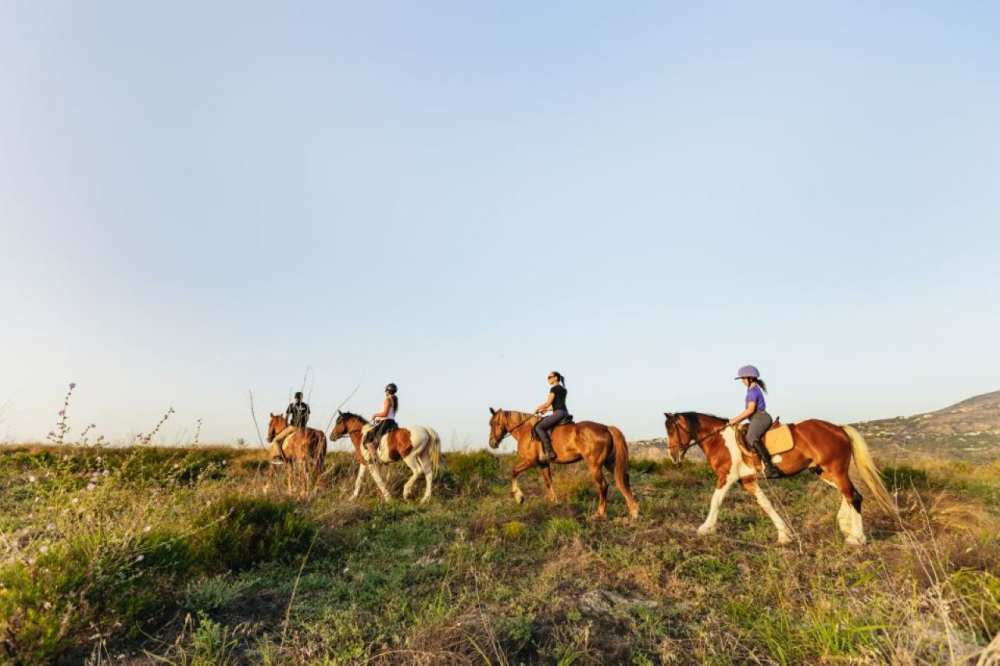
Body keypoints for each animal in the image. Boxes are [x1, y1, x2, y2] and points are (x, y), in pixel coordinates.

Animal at [486, 404, 640, 520]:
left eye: (494, 423)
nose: (492, 443)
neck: (525, 430)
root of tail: (606, 428)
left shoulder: (529, 461)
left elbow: (513, 472)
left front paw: (519, 497)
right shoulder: (543, 463)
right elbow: (548, 482)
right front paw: (553, 501)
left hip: (594, 465)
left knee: (603, 485)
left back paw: (600, 513)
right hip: (610, 463)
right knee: (624, 480)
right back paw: (634, 511)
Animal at [664, 410, 892, 544]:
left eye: (672, 430)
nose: (673, 456)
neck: (718, 439)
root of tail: (838, 429)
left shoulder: (726, 477)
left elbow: (716, 501)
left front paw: (705, 529)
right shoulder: (747, 481)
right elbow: (766, 505)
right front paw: (784, 535)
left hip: (835, 470)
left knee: (853, 496)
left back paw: (857, 538)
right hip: (824, 472)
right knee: (850, 494)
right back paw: (846, 527)